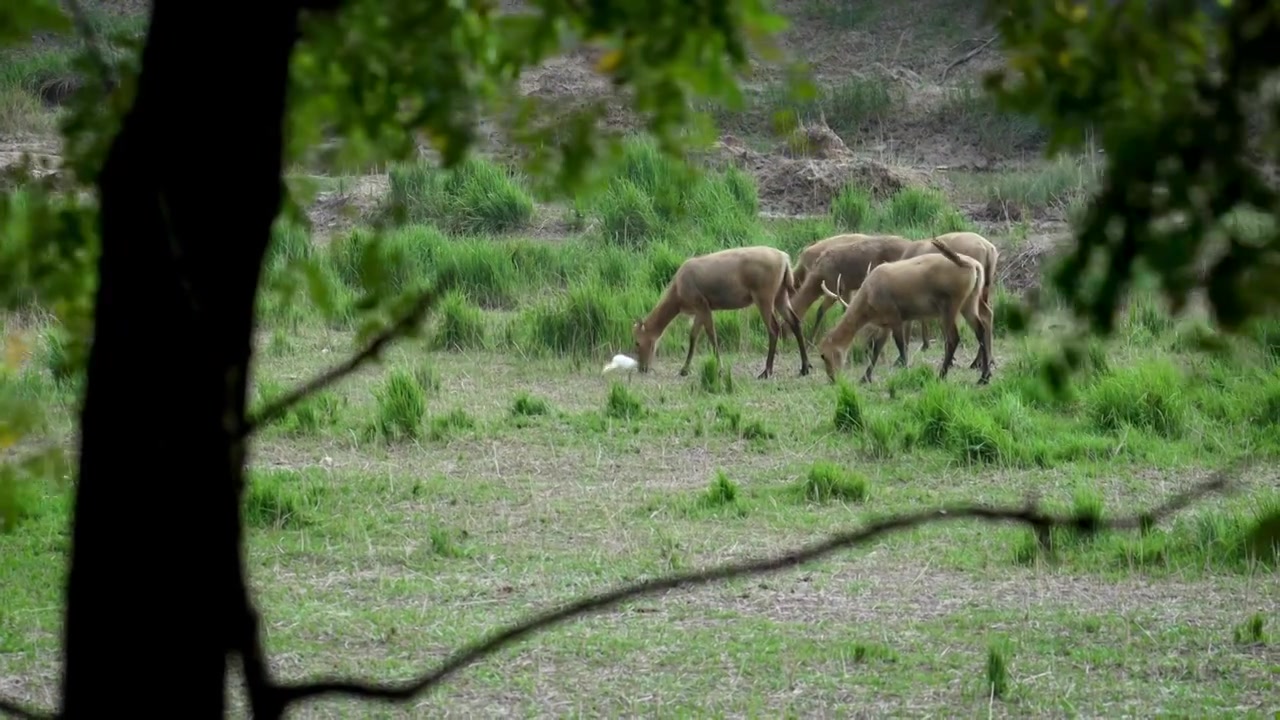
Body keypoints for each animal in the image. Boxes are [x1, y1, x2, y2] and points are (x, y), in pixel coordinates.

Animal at [629, 245, 808, 379]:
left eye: (637, 342)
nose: (642, 368)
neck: (678, 297)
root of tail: (785, 260)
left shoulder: (702, 303)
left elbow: (711, 335)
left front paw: (720, 369)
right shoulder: (699, 309)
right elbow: (693, 336)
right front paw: (684, 370)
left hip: (764, 294)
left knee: (774, 328)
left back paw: (766, 371)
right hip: (781, 294)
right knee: (795, 321)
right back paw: (804, 368)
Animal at [819, 235, 988, 384]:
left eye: (823, 355)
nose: (832, 379)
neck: (868, 299)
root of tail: (973, 265)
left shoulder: (894, 316)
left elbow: (900, 345)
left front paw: (906, 369)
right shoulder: (885, 324)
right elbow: (877, 349)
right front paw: (865, 378)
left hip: (949, 306)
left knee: (953, 338)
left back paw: (941, 375)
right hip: (970, 302)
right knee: (980, 329)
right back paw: (984, 377)